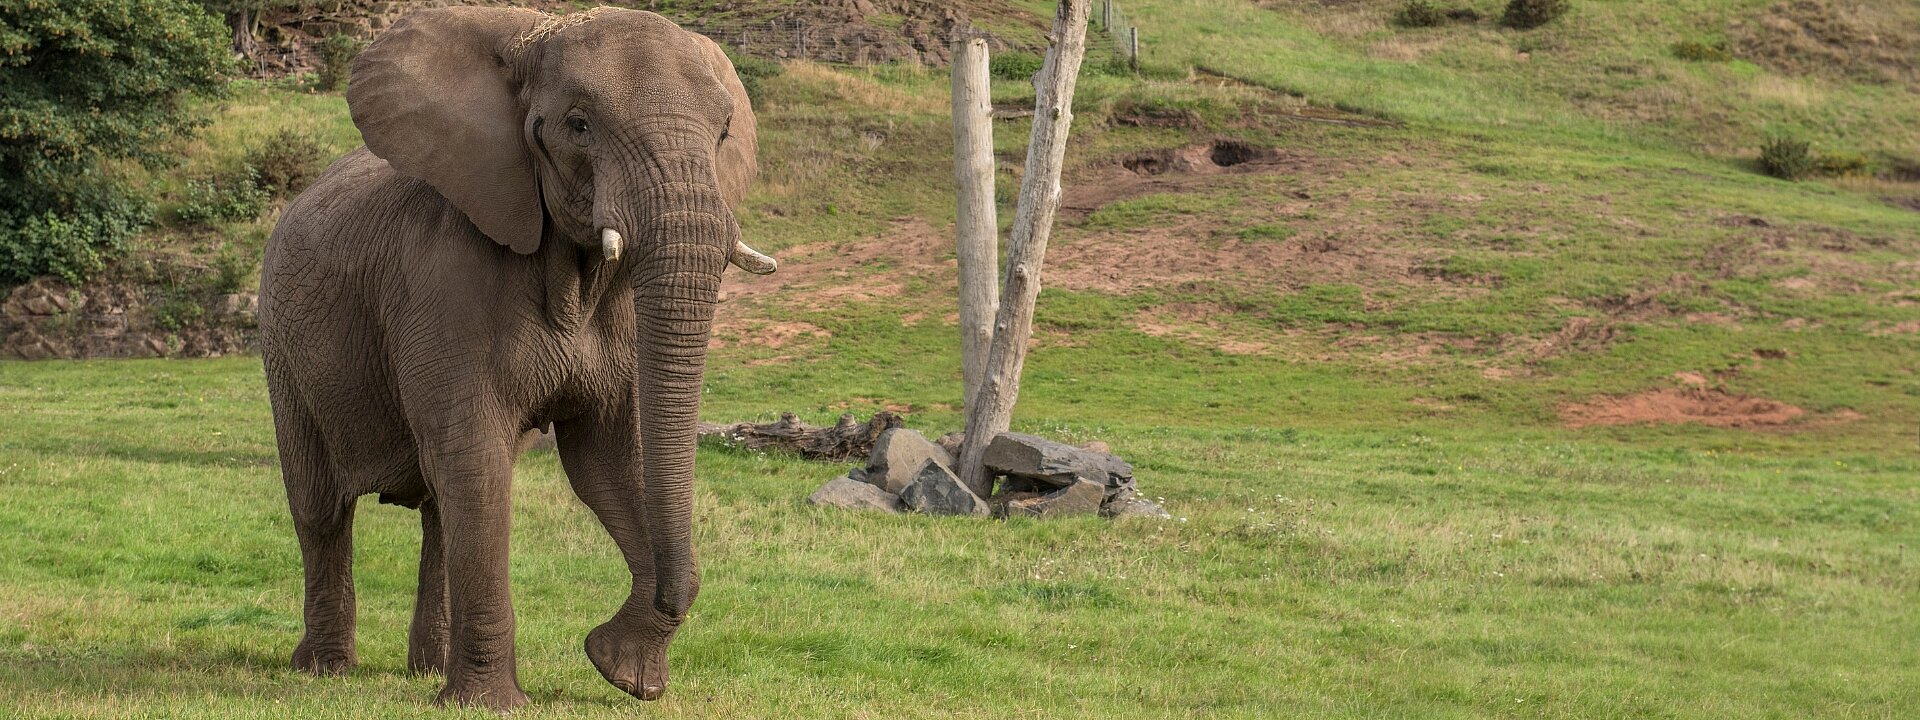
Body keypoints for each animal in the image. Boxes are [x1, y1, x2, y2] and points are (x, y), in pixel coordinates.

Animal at [259, 7, 775, 718]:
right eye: (578, 125)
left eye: (723, 133)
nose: (612, 649)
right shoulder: (443, 285)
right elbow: (480, 459)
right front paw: (495, 704)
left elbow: (606, 466)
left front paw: (620, 671)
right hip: (282, 352)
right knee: (322, 508)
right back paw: (327, 671)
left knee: (440, 508)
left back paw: (425, 672)